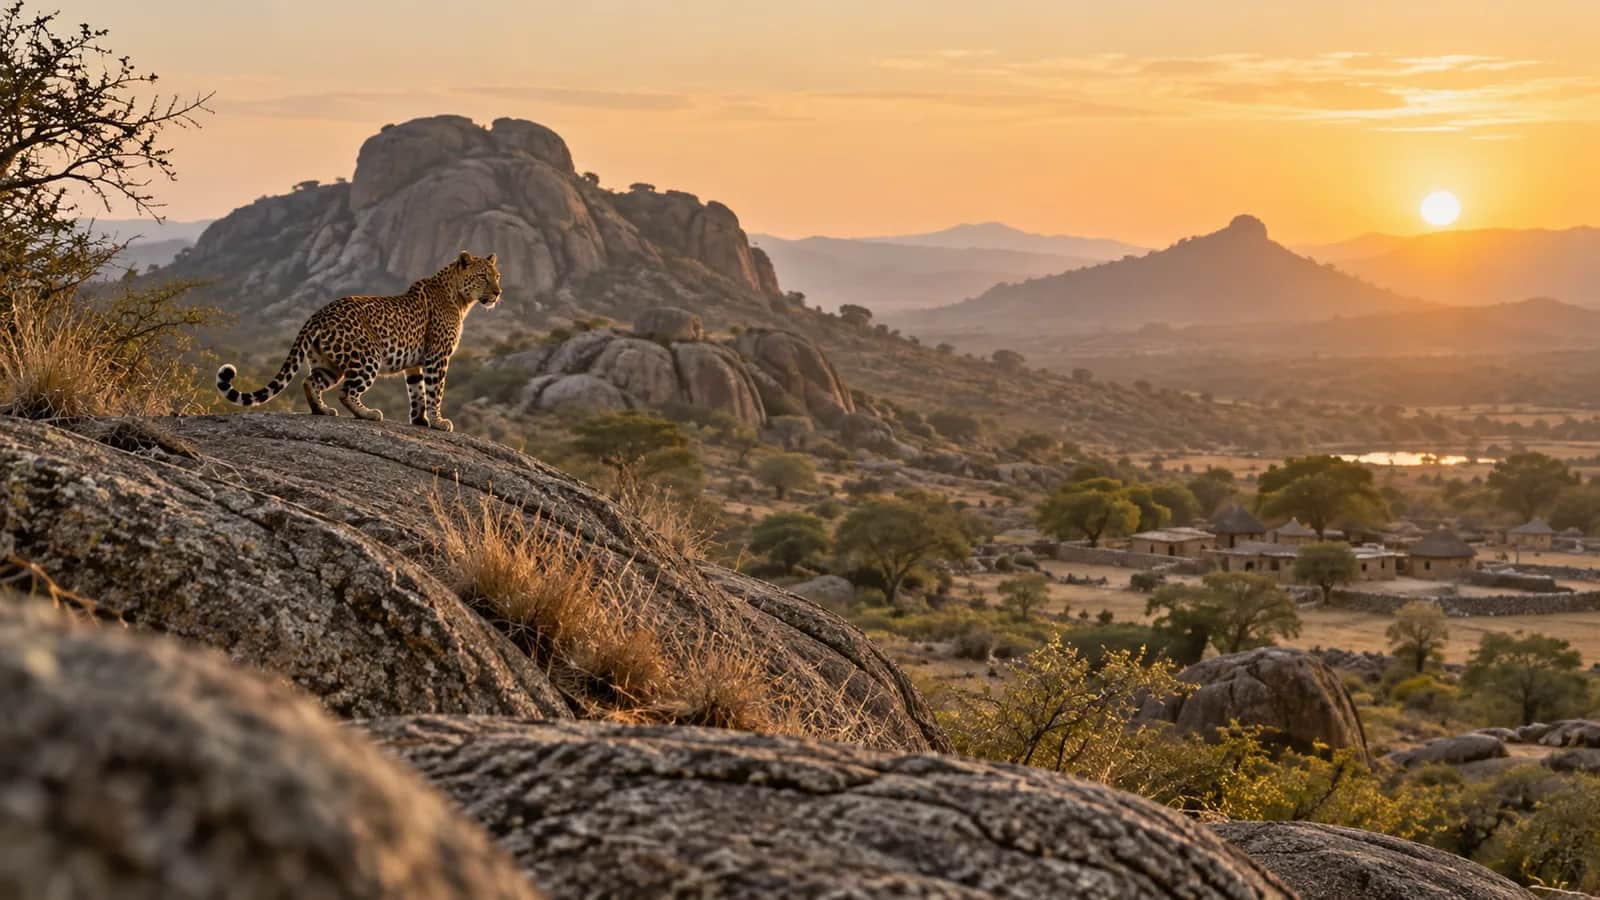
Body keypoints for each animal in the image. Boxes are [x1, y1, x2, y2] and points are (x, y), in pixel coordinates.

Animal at [216, 251, 502, 432]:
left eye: (497, 276)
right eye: (483, 277)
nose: (499, 293)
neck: (460, 298)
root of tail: (317, 314)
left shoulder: (416, 363)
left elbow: (417, 391)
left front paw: (420, 420)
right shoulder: (437, 357)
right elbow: (435, 391)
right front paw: (439, 421)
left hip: (329, 363)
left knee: (310, 381)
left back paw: (322, 410)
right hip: (368, 357)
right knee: (346, 391)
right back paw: (368, 413)